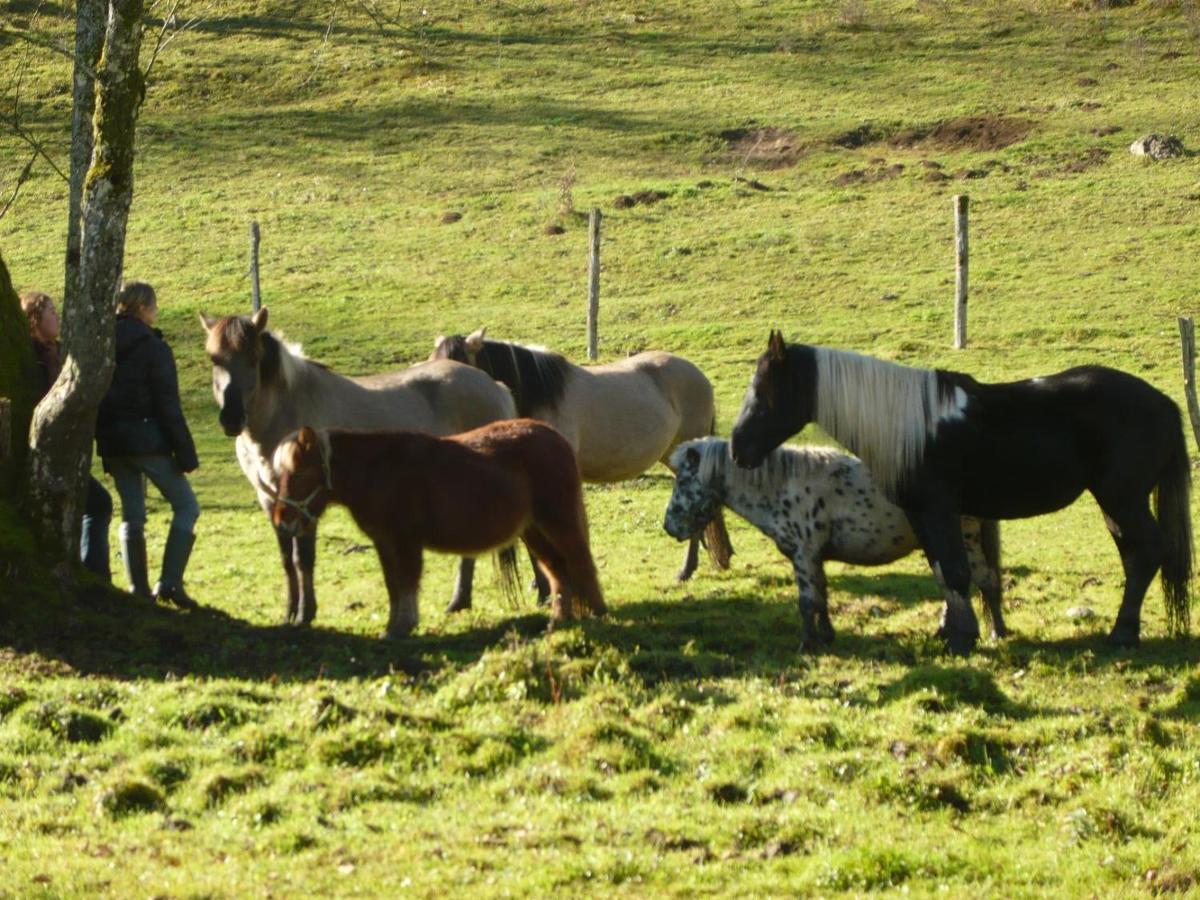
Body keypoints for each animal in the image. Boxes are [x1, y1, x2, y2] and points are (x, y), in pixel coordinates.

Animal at [198, 309, 516, 628]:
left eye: (254, 358)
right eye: (214, 358)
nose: (231, 418)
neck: (284, 412)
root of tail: (495, 386)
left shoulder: (305, 501)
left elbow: (303, 559)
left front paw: (304, 614)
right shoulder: (272, 500)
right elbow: (286, 559)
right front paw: (289, 614)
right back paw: (459, 602)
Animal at [268, 422, 609, 638]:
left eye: (300, 474)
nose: (282, 522)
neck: (379, 471)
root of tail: (557, 438)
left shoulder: (405, 541)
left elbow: (407, 582)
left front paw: (403, 626)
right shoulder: (385, 543)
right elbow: (393, 585)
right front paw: (393, 626)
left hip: (558, 522)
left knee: (580, 562)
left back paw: (598, 613)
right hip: (534, 530)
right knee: (558, 570)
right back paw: (558, 621)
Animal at [667, 439, 1003, 643]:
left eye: (682, 480)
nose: (669, 526)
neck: (782, 485)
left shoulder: (803, 555)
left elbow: (807, 601)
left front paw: (808, 644)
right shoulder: (815, 557)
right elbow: (822, 595)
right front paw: (826, 636)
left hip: (967, 543)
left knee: (984, 583)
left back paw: (996, 632)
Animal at [729, 331, 1190, 657]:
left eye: (765, 392)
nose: (737, 448)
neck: (912, 427)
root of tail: (1165, 403)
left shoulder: (936, 509)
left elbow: (953, 571)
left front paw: (962, 638)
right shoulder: (923, 515)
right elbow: (942, 570)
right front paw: (950, 630)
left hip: (1121, 499)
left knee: (1147, 551)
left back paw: (1123, 634)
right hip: (1116, 503)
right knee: (1135, 555)